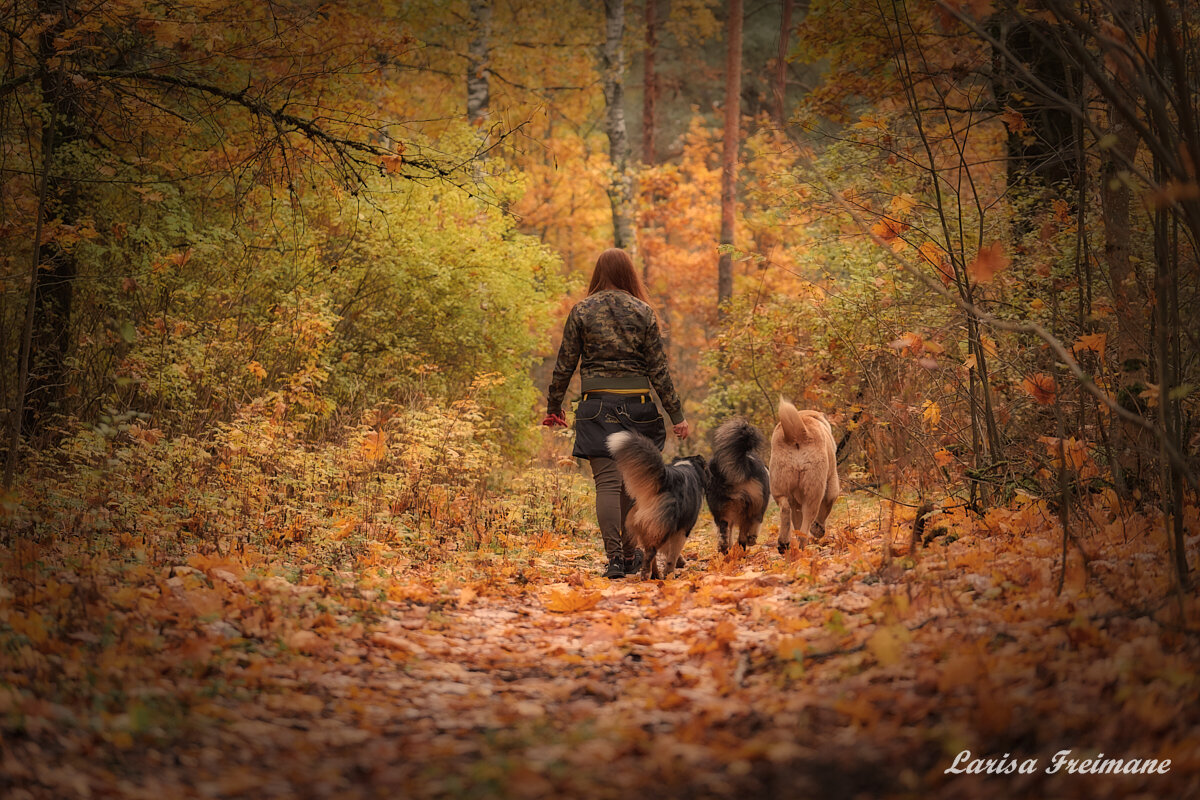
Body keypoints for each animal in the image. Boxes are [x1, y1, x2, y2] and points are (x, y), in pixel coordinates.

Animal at [604, 434, 705, 578]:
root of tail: (664, 479)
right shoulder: (682, 529)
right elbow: (672, 554)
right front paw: (671, 573)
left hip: (644, 525)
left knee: (650, 552)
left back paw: (655, 574)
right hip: (660, 526)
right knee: (651, 552)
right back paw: (648, 574)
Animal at [700, 419, 768, 556]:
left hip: (721, 509)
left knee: (725, 532)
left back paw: (726, 549)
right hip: (756, 505)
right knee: (751, 526)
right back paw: (747, 543)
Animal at [772, 398, 840, 554]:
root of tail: (797, 432)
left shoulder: (795, 502)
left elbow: (796, 519)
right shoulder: (832, 485)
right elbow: (827, 505)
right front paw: (818, 530)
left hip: (779, 485)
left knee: (785, 509)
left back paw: (784, 543)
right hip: (813, 492)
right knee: (807, 522)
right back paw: (803, 547)